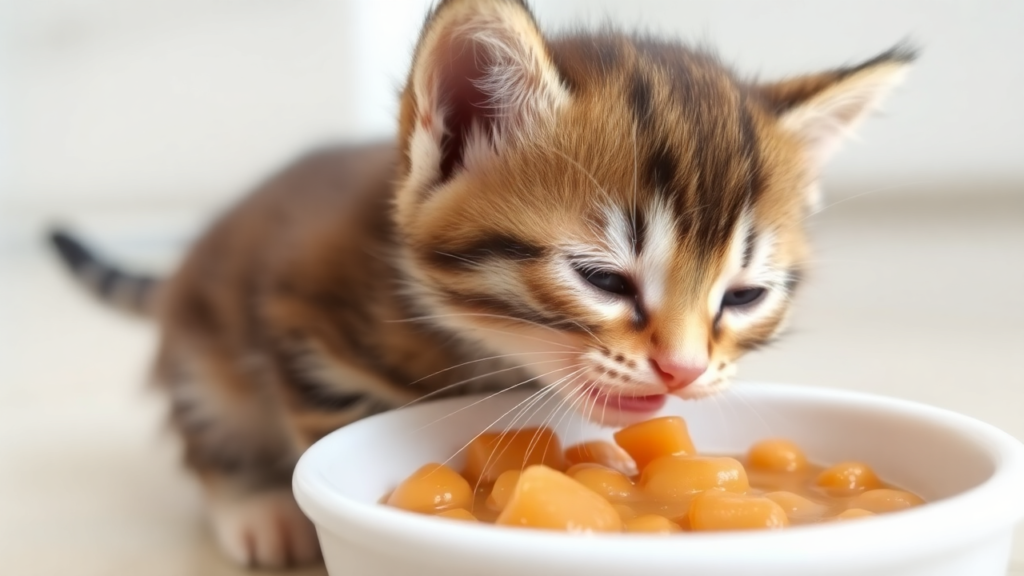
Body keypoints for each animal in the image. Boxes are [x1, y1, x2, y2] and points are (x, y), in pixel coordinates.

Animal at [48, 0, 913, 565]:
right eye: (602, 279)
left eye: (742, 297)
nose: (683, 369)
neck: (476, 346)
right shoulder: (301, 326)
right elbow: (325, 437)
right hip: (204, 350)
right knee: (206, 426)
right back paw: (254, 508)